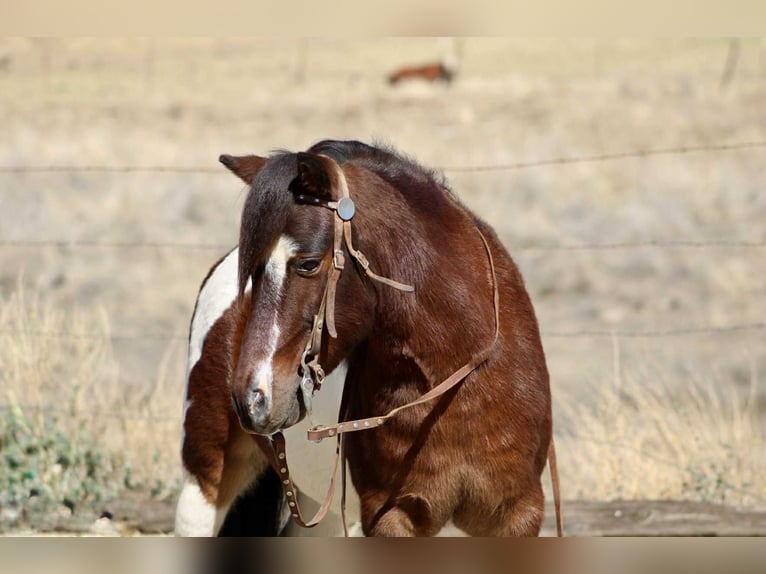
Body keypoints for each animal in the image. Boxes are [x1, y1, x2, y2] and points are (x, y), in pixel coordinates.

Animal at [175, 140, 560, 537]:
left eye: (309, 264)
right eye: (253, 273)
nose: (252, 399)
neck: (456, 386)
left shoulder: (518, 515)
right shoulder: (388, 516)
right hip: (203, 482)